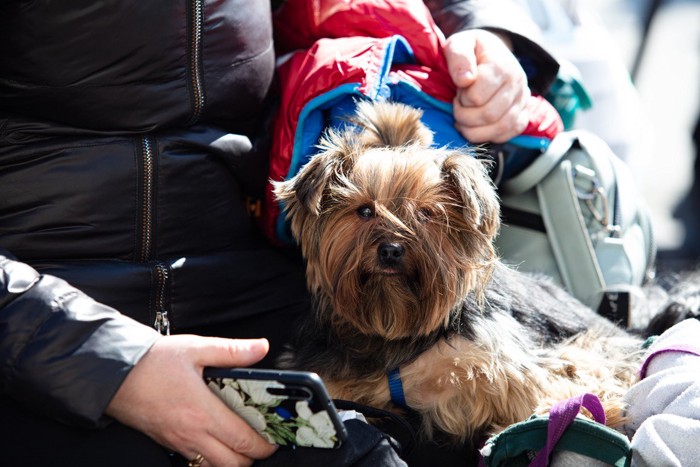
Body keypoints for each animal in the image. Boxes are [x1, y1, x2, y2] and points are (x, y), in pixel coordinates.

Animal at [270, 100, 644, 444]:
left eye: (426, 213)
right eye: (364, 211)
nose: (391, 249)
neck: (395, 331)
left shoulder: (501, 363)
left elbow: (548, 395)